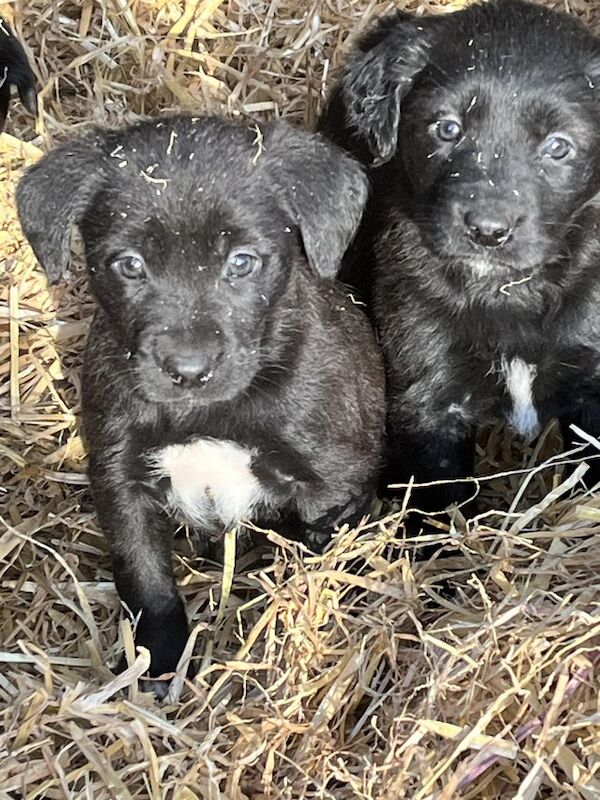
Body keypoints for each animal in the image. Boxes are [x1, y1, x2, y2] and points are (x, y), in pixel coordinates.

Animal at [18, 114, 386, 692]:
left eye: (242, 262)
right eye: (129, 265)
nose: (188, 370)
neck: (206, 414)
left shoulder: (333, 481)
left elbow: (322, 556)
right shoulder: (120, 478)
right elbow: (145, 579)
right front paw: (156, 663)